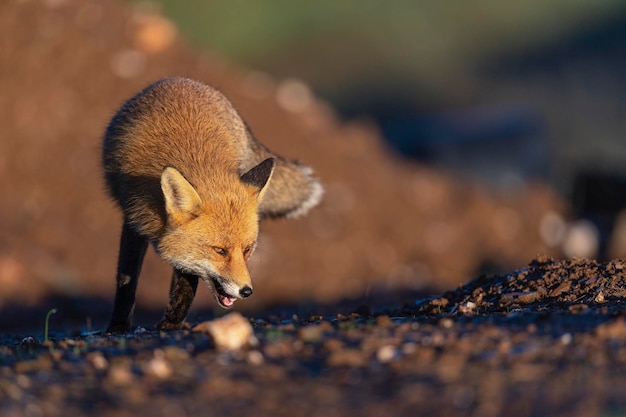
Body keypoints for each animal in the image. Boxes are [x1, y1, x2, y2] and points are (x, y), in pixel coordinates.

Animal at [102, 77, 322, 332]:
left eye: (247, 250)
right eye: (219, 251)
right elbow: (126, 278)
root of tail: (182, 80)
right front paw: (118, 326)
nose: (246, 291)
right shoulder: (133, 218)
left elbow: (187, 278)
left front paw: (173, 319)